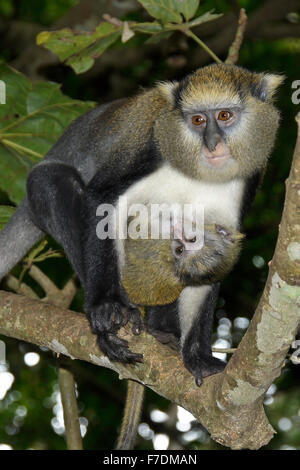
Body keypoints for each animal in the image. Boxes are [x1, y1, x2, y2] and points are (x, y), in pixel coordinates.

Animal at [0, 65, 282, 386]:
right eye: (198, 120)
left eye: (224, 115)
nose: (212, 144)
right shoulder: (151, 149)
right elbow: (103, 200)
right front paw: (106, 307)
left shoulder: (248, 181)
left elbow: (214, 260)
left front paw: (197, 355)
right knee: (52, 181)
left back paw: (162, 331)